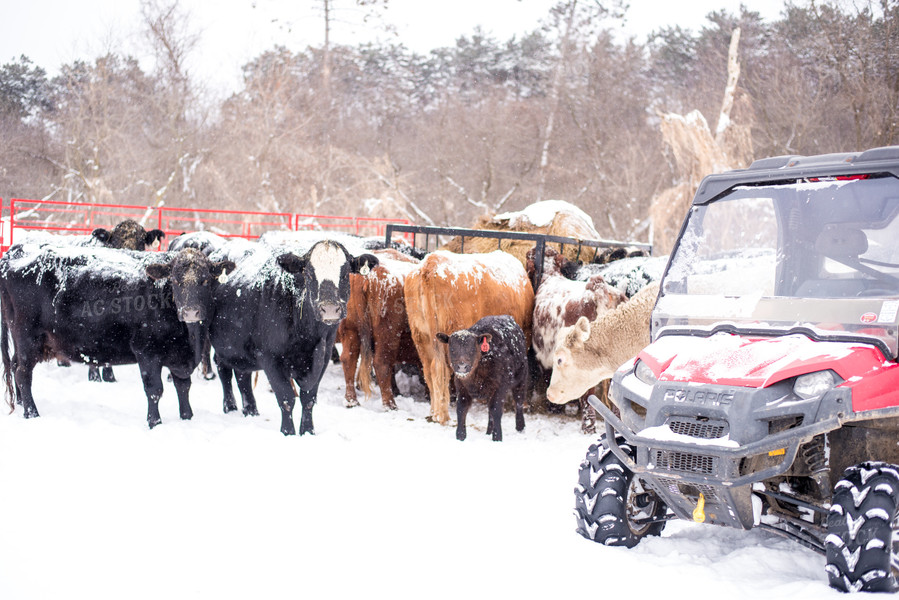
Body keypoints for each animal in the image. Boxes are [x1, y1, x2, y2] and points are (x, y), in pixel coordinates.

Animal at [0, 244, 236, 426]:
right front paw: (155, 422)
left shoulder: (179, 356)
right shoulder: (146, 351)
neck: (190, 338)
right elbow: (154, 389)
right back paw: (32, 413)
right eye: (175, 281)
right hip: (27, 337)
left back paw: (21, 404)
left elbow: (183, 387)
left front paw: (187, 418)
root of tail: (14, 253)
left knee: (15, 365)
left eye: (205, 280)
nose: (190, 312)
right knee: (23, 373)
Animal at [209, 239, 378, 436]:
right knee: (223, 369)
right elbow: (286, 398)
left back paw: (250, 410)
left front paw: (307, 431)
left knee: (242, 374)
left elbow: (308, 398)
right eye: (309, 274)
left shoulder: (323, 357)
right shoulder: (270, 358)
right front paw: (288, 432)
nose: (329, 309)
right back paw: (230, 406)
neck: (308, 335)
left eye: (345, 274)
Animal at [336, 246, 424, 410]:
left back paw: (351, 400)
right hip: (387, 334)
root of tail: (366, 277)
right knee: (381, 363)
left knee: (348, 359)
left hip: (351, 329)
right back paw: (390, 404)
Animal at [402, 248, 536, 426]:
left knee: (429, 371)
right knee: (441, 371)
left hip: (421, 337)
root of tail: (430, 264)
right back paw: (443, 416)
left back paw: (433, 413)